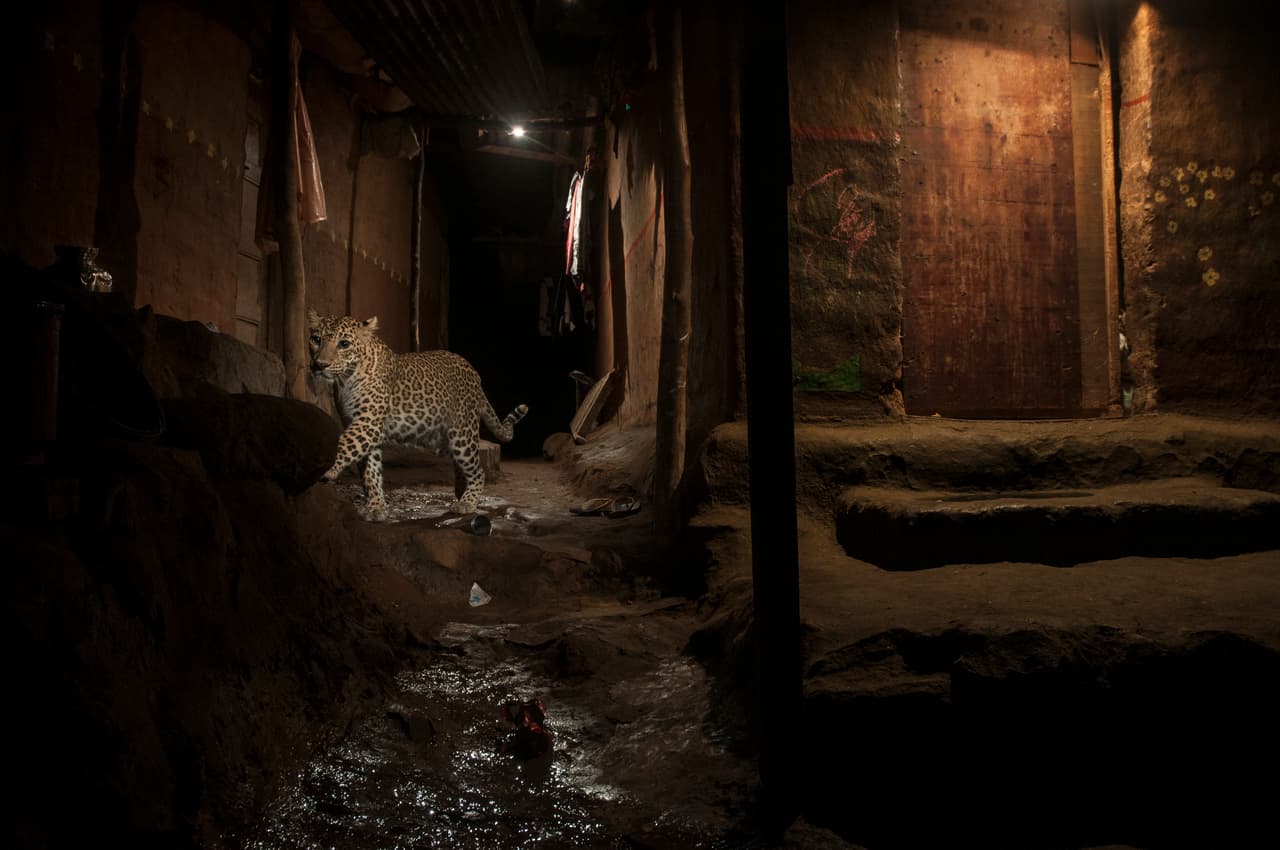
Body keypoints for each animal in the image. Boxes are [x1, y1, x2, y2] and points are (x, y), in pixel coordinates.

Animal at [307, 309, 528, 521]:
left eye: (344, 344)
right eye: (316, 339)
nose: (320, 365)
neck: (345, 380)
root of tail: (474, 372)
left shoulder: (368, 424)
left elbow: (344, 444)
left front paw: (326, 468)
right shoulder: (360, 425)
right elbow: (370, 472)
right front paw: (376, 507)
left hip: (461, 434)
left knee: (477, 470)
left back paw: (468, 502)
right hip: (443, 439)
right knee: (460, 465)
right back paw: (460, 492)